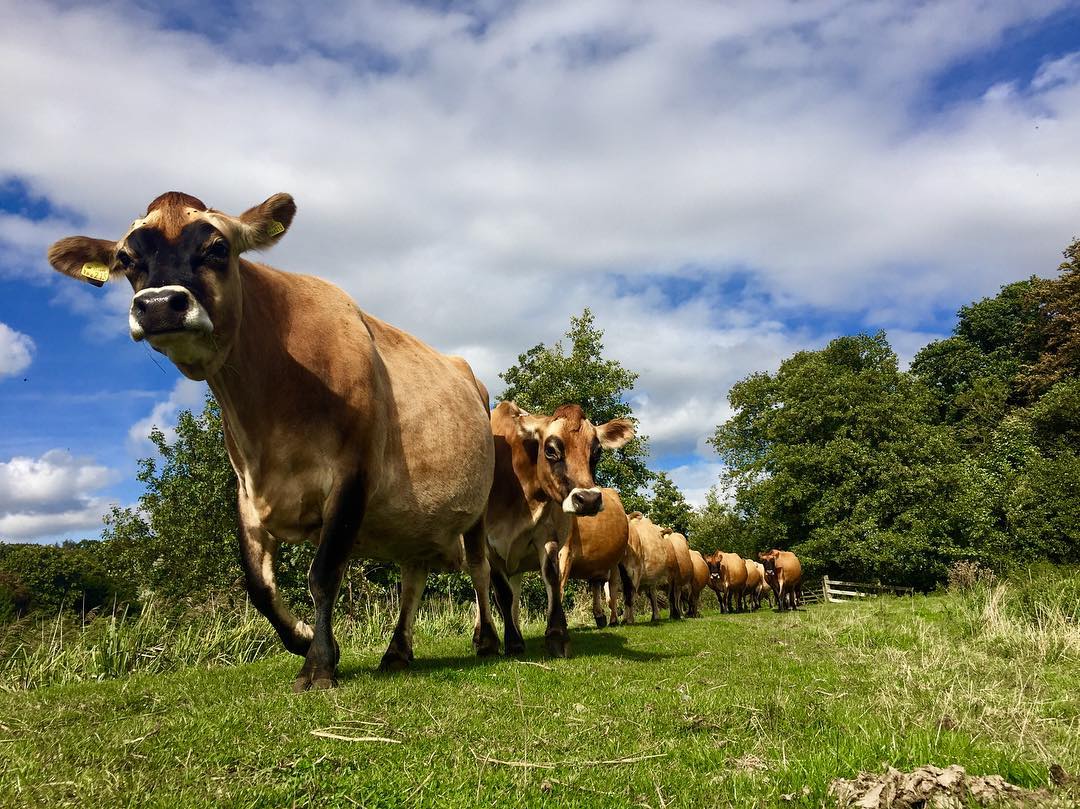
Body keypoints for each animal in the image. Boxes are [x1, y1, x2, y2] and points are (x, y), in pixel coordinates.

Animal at [47, 191, 500, 691]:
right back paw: (397, 652)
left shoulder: (353, 474)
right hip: (413, 521)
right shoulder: (246, 488)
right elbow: (259, 586)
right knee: (413, 578)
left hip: (480, 504)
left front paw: (318, 665)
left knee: (480, 569)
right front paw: (305, 639)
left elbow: (323, 574)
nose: (161, 304)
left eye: (218, 248)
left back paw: (489, 640)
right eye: (127, 259)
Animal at [558, 487, 630, 628]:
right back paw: (600, 616)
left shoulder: (565, 551)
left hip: (614, 560)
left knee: (612, 587)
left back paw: (613, 619)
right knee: (596, 583)